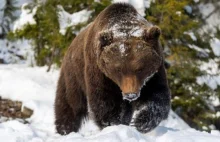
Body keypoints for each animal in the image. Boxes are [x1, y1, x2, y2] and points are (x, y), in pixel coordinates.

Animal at [54, 2, 171, 135]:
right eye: (118, 69)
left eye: (140, 69)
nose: (130, 94)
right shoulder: (100, 73)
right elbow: (105, 102)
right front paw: (113, 124)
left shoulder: (153, 74)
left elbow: (157, 96)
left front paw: (141, 122)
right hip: (73, 74)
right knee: (69, 103)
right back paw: (64, 129)